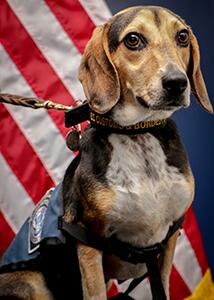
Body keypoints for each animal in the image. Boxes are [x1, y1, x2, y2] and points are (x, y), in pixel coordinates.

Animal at [0, 4, 212, 300]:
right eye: (133, 40)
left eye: (182, 36)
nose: (177, 83)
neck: (137, 132)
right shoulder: (89, 243)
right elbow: (96, 292)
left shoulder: (169, 240)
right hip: (32, 283)